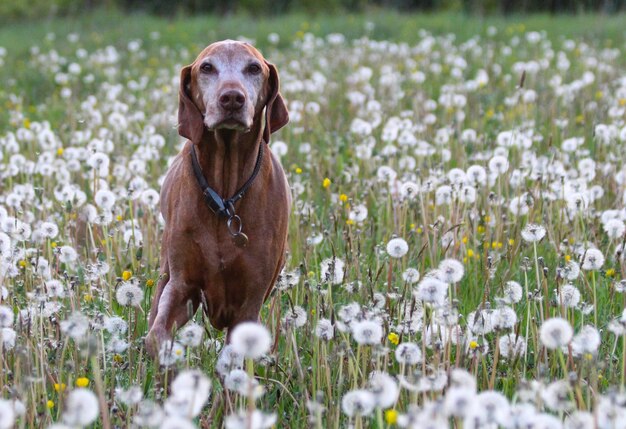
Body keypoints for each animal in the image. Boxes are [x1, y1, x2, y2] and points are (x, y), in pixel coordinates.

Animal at [146, 40, 290, 352]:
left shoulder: (250, 302)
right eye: (207, 67)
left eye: (254, 68)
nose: (232, 98)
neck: (225, 195)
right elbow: (156, 336)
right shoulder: (181, 287)